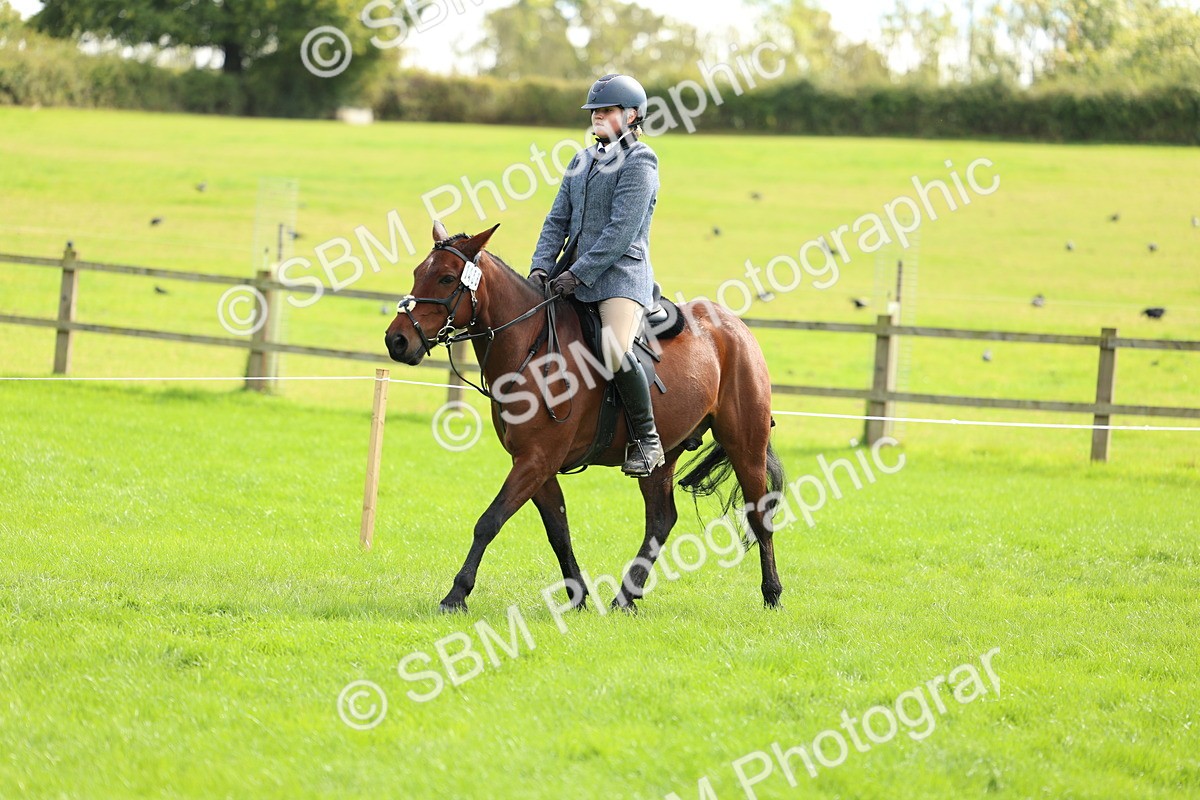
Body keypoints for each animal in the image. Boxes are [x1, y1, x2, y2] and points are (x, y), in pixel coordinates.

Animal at [384, 221, 785, 613]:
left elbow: (489, 521)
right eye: (418, 272)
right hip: (662, 455)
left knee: (758, 515)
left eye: (447, 278)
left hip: (745, 444)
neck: (531, 347)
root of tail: (735, 327)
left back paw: (772, 594)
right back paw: (625, 598)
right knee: (661, 520)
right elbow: (558, 531)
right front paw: (578, 597)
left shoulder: (537, 459)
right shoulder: (535, 464)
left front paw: (456, 595)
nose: (397, 341)